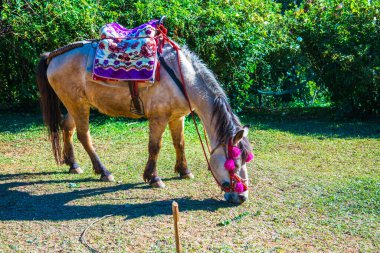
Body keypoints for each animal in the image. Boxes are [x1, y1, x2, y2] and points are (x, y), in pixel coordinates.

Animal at [36, 32, 252, 204]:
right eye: (234, 163)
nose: (241, 197)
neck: (183, 76)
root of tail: (53, 56)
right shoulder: (159, 117)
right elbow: (155, 147)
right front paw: (154, 178)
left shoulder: (178, 117)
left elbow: (179, 143)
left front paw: (184, 171)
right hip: (77, 105)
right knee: (84, 136)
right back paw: (104, 172)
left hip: (76, 104)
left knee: (67, 128)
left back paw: (73, 164)